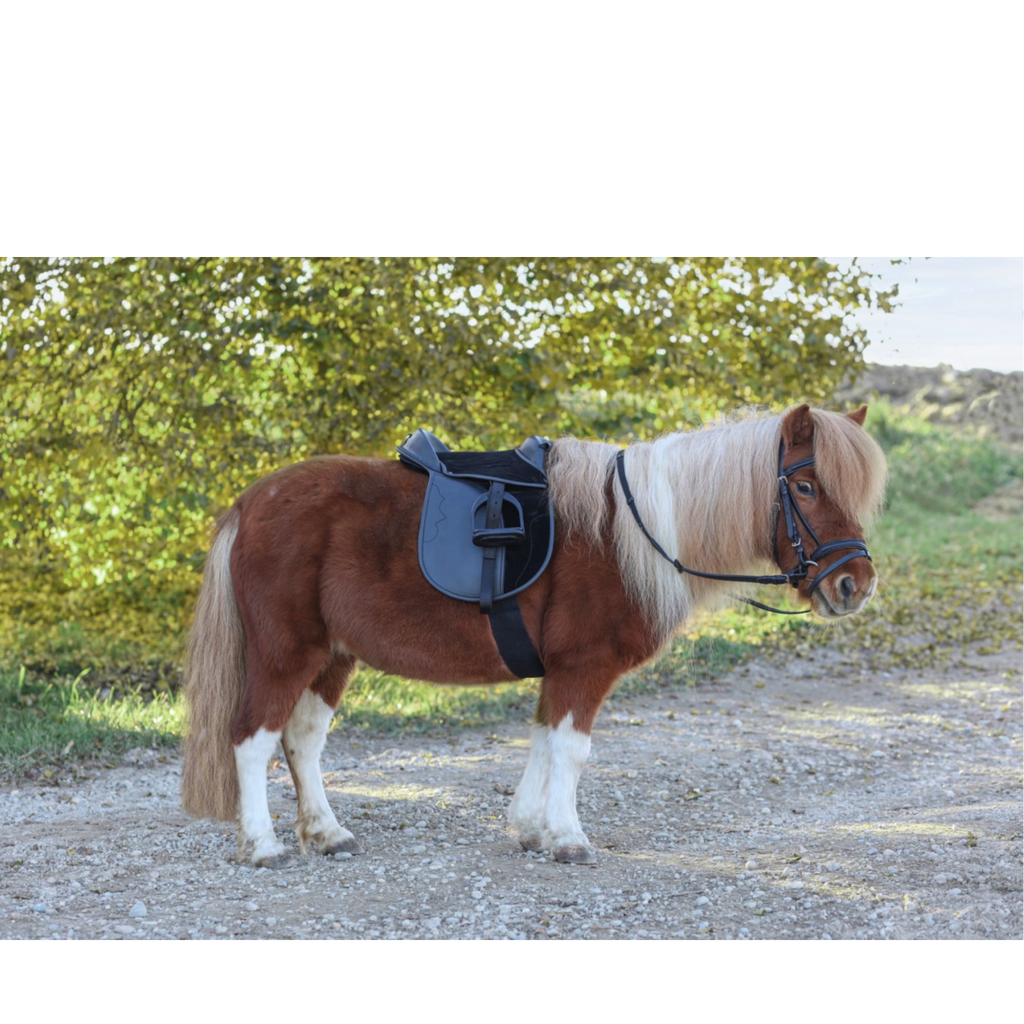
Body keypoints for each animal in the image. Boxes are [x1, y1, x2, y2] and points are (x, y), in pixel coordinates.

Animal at [181, 404, 887, 867]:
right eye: (805, 485)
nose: (854, 584)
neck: (629, 531)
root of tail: (250, 503)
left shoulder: (563, 671)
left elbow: (546, 741)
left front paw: (530, 827)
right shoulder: (584, 666)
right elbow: (571, 751)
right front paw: (568, 839)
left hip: (333, 657)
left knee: (302, 741)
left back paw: (326, 834)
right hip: (285, 654)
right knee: (252, 739)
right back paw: (262, 845)